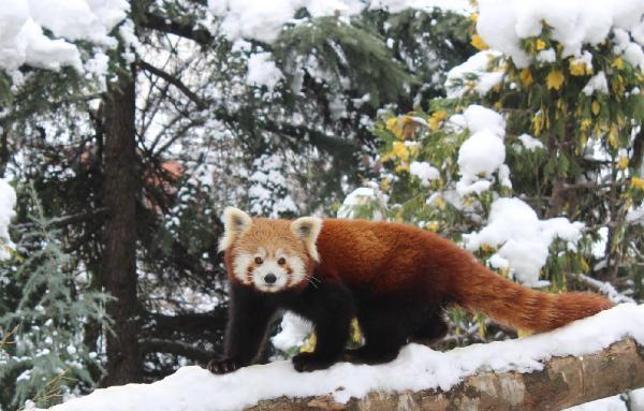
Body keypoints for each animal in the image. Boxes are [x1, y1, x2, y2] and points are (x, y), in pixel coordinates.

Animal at [208, 208, 612, 374]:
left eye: (283, 260)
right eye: (258, 261)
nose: (270, 278)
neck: (281, 293)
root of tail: (449, 251)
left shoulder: (324, 280)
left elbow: (337, 314)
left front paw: (316, 359)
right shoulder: (248, 294)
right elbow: (245, 326)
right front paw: (229, 362)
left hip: (399, 277)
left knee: (381, 319)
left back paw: (370, 353)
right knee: (431, 322)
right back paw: (424, 334)